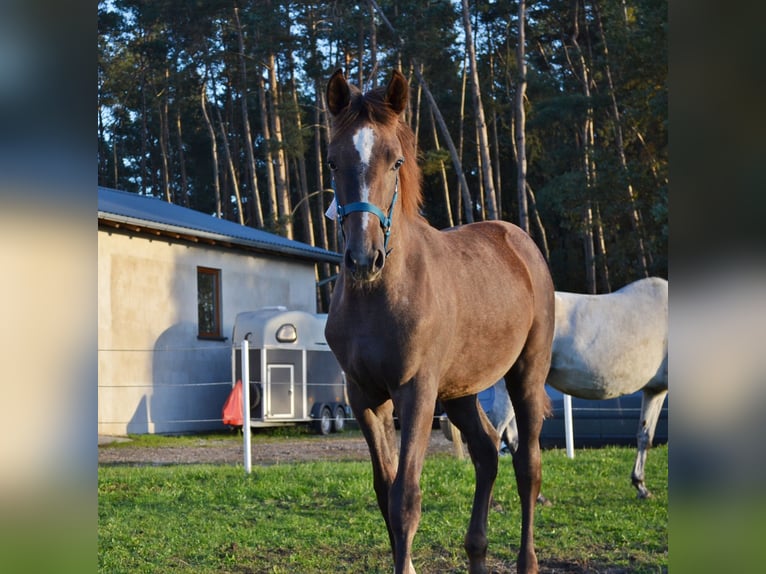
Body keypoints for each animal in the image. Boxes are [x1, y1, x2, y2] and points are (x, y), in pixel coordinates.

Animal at [326, 71, 560, 574]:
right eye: (333, 161)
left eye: (395, 161)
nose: (363, 259)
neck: (380, 297)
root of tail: (520, 242)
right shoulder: (364, 397)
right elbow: (384, 492)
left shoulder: (416, 391)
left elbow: (405, 499)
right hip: (461, 391)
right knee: (488, 452)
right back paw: (477, 551)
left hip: (526, 376)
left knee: (527, 465)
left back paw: (526, 560)